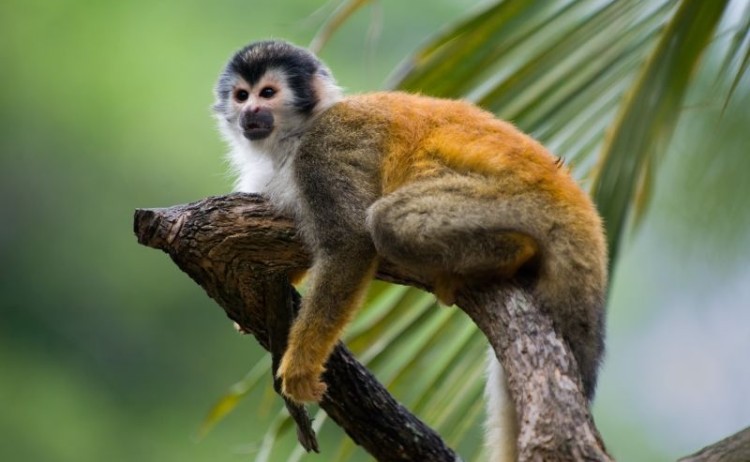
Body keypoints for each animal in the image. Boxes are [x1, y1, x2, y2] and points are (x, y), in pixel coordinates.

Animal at [213, 40, 607, 461]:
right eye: (242, 96)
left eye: (268, 93)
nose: (250, 112)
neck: (296, 135)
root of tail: (573, 198)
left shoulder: (322, 152)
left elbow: (349, 243)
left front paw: (301, 367)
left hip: (517, 200)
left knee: (388, 221)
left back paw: (515, 251)